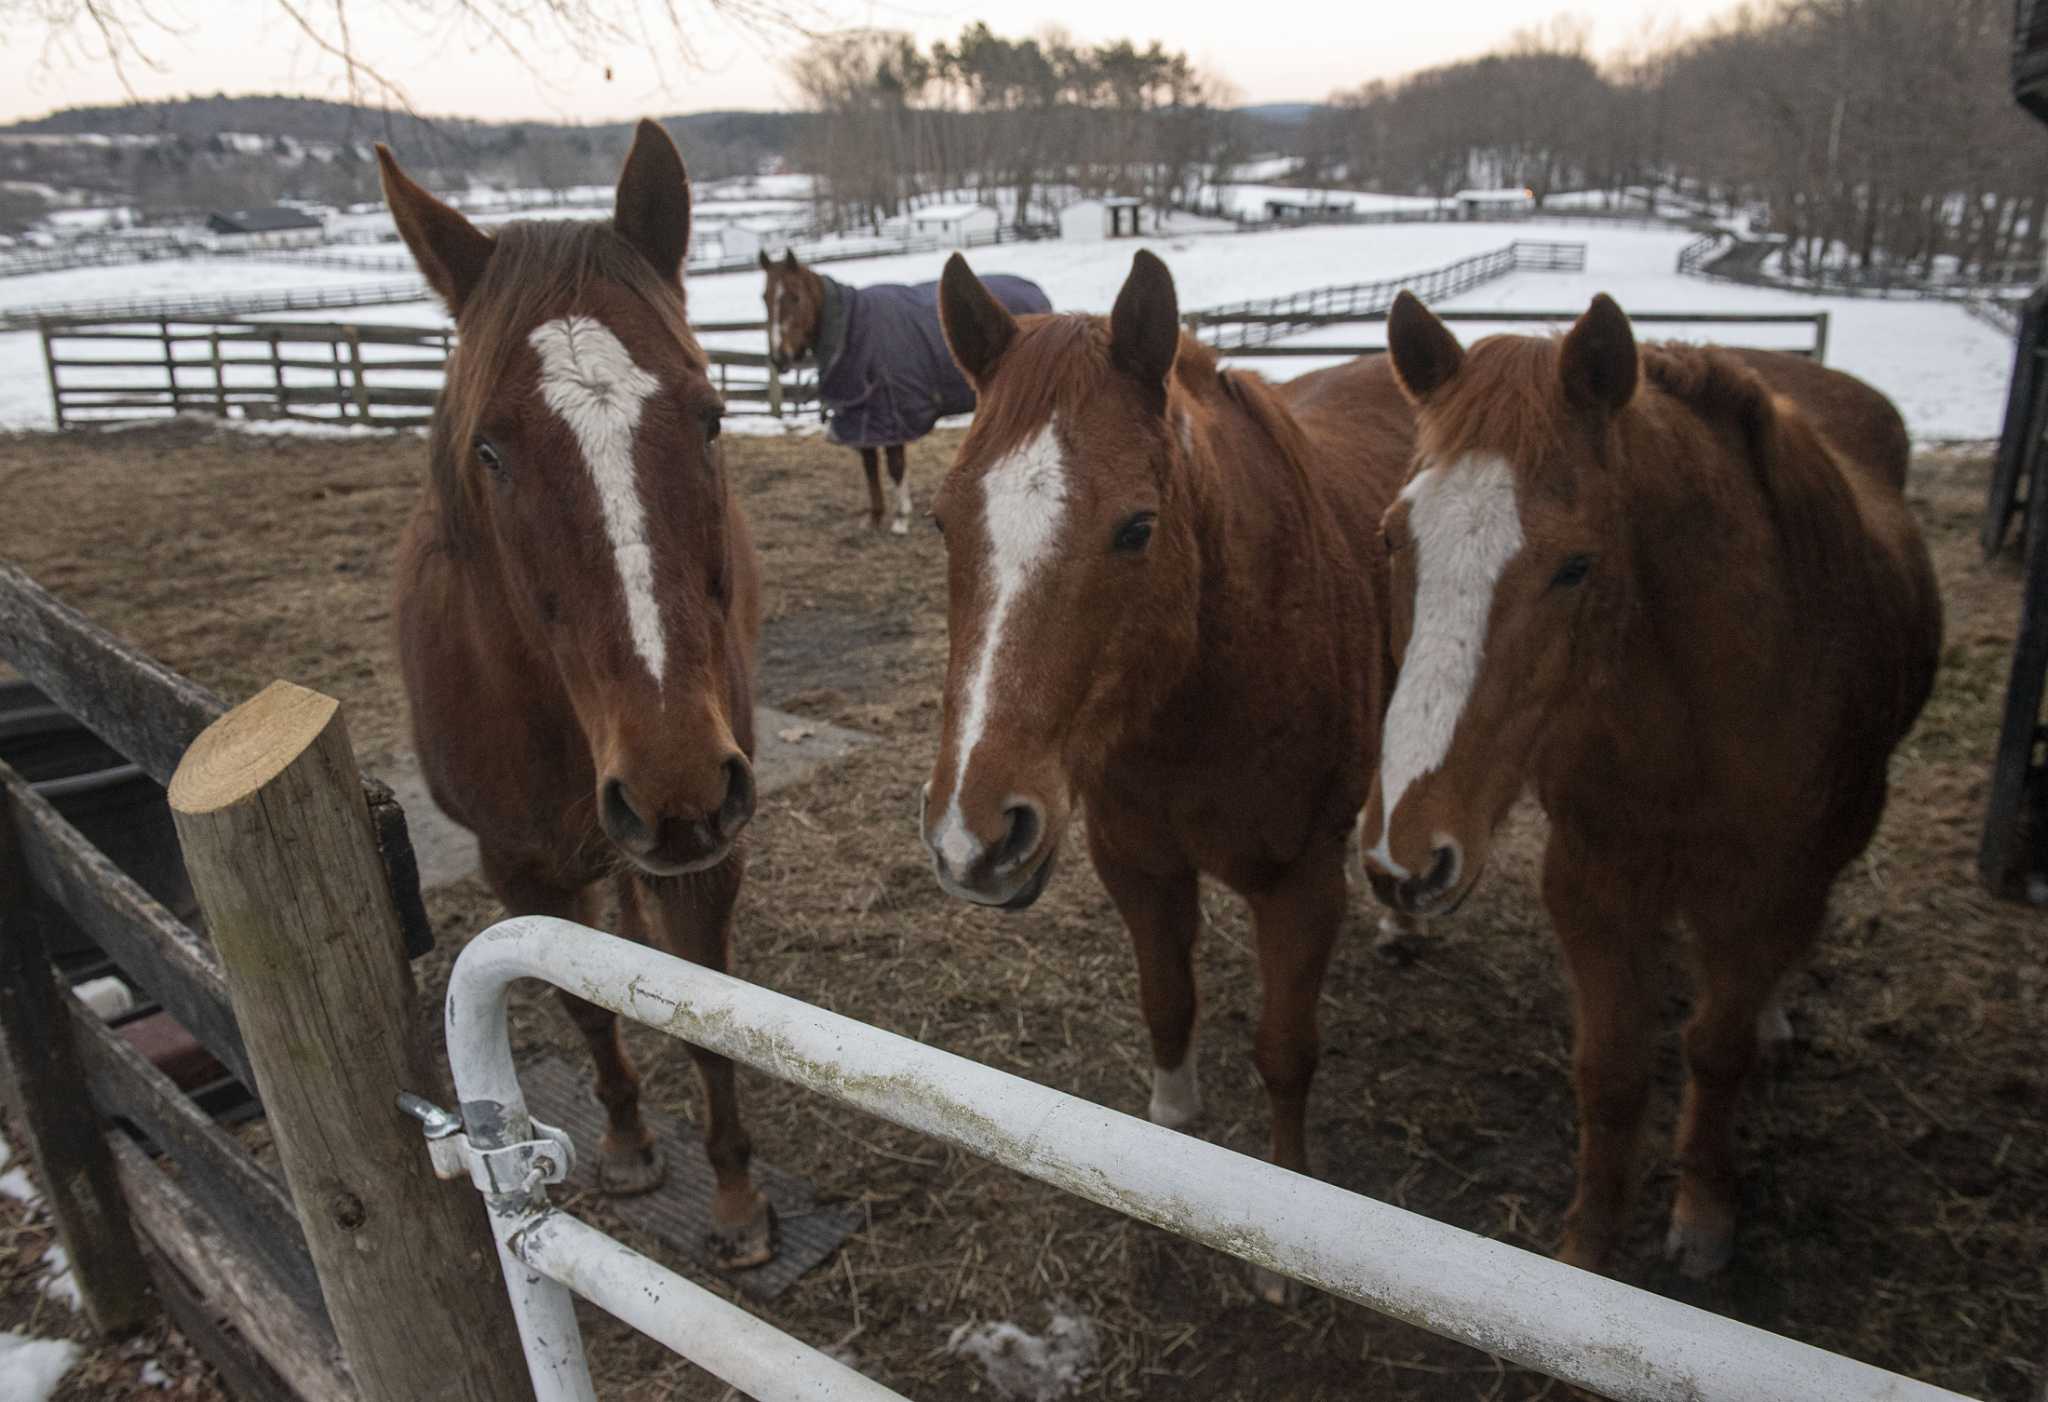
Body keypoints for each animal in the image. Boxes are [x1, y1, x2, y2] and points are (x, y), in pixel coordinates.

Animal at [378, 121, 777, 1268]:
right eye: (488, 448)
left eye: (711, 416)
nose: (676, 784)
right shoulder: (515, 861)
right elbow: (578, 1003)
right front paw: (631, 1143)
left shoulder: (709, 850)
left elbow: (702, 1014)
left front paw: (735, 1200)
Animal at [759, 248, 1052, 534]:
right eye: (764, 298)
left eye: (795, 297)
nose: (778, 358)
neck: (850, 331)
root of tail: (1035, 290)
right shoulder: (863, 418)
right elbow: (870, 468)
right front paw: (875, 517)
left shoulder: (892, 414)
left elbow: (895, 467)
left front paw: (901, 518)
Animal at [919, 249, 1417, 1302]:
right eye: (942, 522)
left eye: (1138, 528)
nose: (974, 841)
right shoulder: (1138, 866)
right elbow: (1166, 1007)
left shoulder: (1301, 885)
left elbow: (1285, 1053)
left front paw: (1283, 1251)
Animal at [1362, 291, 1941, 1278]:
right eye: (1393, 539)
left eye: (1577, 564)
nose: (1406, 855)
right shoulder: (1594, 883)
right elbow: (1613, 1072)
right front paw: (1588, 1245)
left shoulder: (1764, 891)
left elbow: (1716, 1048)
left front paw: (1704, 1214)